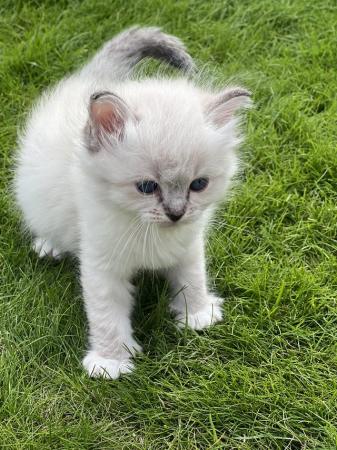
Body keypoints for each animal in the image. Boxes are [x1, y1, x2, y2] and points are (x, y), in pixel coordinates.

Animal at [14, 27, 251, 380]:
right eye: (147, 187)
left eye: (198, 185)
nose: (176, 213)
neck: (148, 232)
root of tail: (92, 79)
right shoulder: (102, 265)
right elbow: (106, 317)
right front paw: (110, 363)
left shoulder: (188, 245)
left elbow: (193, 279)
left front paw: (197, 316)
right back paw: (49, 246)